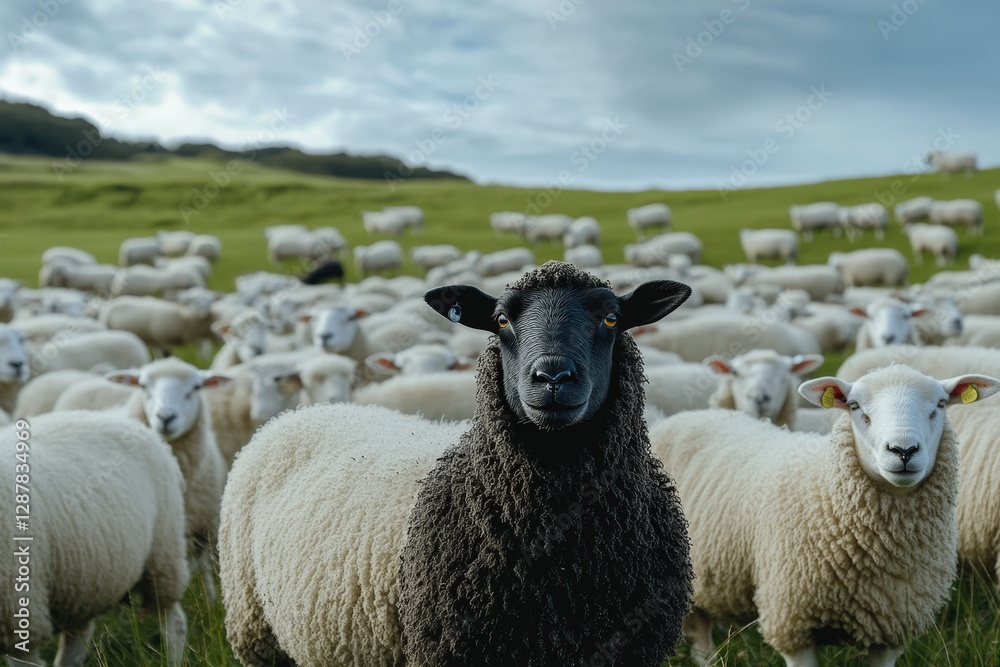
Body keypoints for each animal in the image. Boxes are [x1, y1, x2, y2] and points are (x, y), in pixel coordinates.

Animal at [0, 412, 191, 666]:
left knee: (173, 621)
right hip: (81, 584)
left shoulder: (19, 618)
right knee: (76, 642)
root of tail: (119, 417)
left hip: (163, 553)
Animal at [106, 359, 232, 602]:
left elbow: (201, 564)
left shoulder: (203, 524)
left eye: (196, 387)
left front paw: (210, 599)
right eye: (143, 385)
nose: (165, 417)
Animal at [651, 365, 1000, 665]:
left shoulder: (890, 627)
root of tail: (683, 416)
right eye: (856, 406)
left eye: (940, 404)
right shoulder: (792, 623)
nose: (903, 451)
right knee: (699, 634)